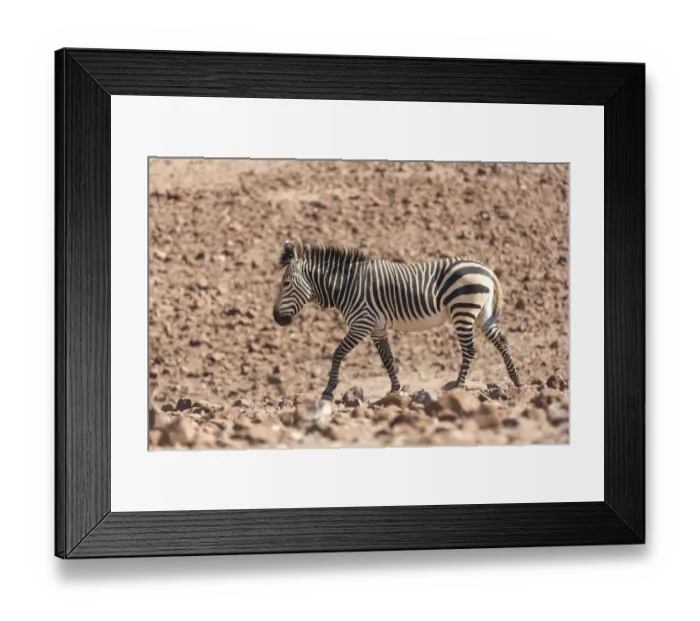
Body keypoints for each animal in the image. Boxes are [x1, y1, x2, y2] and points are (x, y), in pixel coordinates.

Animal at [273, 240, 522, 401]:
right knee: (502, 341)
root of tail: (486, 269)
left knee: (469, 349)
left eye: (285, 284)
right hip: (482, 314)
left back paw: (458, 386)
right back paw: (517, 380)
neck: (347, 285)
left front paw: (328, 390)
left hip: (463, 310)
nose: (276, 318)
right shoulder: (377, 328)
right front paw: (395, 389)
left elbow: (338, 353)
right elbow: (387, 359)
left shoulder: (362, 323)